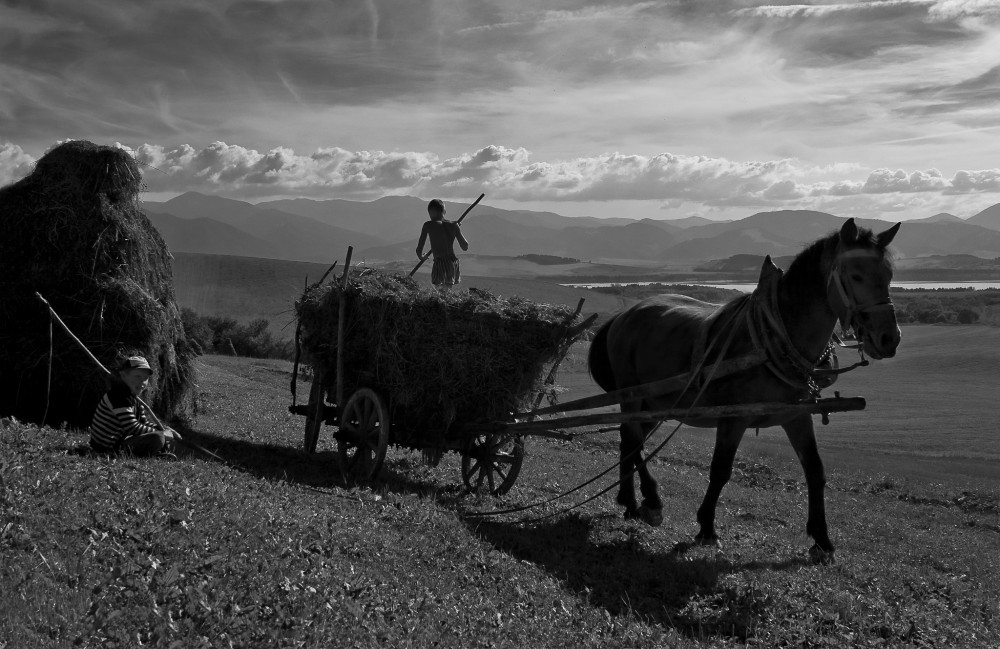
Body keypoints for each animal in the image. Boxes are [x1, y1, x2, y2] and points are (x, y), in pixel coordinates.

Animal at [588, 219, 904, 560]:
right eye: (856, 275)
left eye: (888, 275)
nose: (890, 339)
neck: (775, 334)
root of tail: (623, 315)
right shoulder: (733, 418)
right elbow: (721, 470)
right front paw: (707, 527)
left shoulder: (797, 416)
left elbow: (815, 470)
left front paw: (821, 538)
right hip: (633, 396)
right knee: (634, 441)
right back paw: (651, 500)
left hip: (654, 402)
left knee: (628, 439)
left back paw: (630, 503)